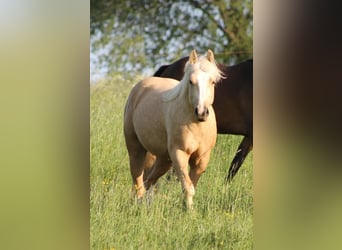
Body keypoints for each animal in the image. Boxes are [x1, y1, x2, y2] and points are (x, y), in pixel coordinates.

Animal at [124, 49, 223, 209]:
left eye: (212, 81)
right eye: (191, 81)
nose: (201, 112)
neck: (196, 125)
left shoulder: (201, 159)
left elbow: (191, 185)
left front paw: (187, 208)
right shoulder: (179, 154)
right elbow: (188, 187)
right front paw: (189, 211)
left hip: (163, 158)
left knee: (149, 179)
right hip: (136, 148)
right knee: (138, 179)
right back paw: (137, 204)